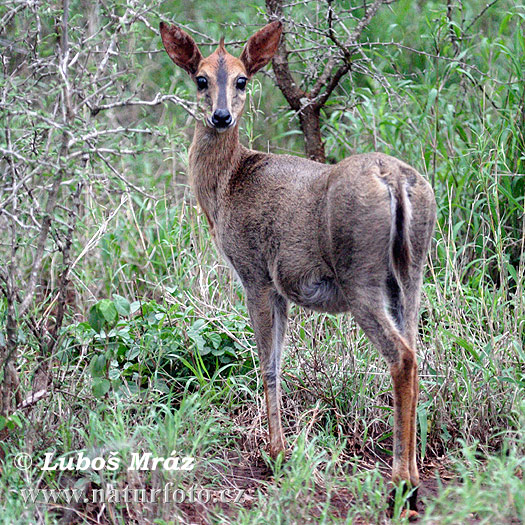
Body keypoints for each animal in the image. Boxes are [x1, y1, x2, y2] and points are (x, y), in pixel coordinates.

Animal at [159, 18, 434, 510]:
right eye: (201, 79)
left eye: (242, 79)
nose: (221, 116)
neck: (227, 184)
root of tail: (394, 179)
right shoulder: (282, 287)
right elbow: (279, 360)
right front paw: (281, 450)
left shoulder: (254, 273)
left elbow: (267, 364)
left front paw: (277, 454)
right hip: (411, 274)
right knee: (417, 353)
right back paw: (414, 479)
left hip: (360, 278)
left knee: (401, 358)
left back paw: (400, 485)